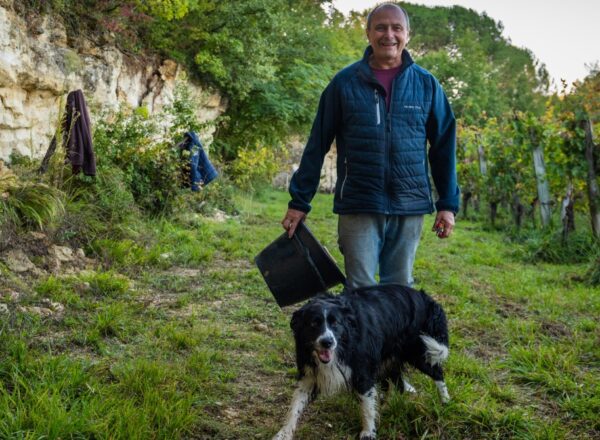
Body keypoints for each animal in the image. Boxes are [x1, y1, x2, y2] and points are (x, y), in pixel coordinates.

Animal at [274, 284, 448, 438]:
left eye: (335, 323)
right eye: (313, 323)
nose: (327, 342)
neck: (344, 343)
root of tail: (423, 296)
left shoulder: (362, 371)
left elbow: (366, 405)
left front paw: (368, 432)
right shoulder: (309, 375)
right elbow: (296, 405)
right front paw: (284, 433)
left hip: (417, 350)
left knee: (437, 372)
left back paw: (445, 402)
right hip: (392, 357)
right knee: (397, 382)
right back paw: (389, 403)